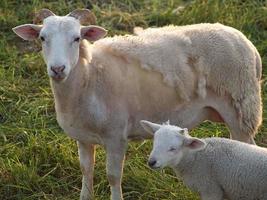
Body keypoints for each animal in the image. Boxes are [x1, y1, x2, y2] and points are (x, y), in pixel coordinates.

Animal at [12, 8, 262, 200]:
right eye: (42, 38)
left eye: (77, 38)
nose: (57, 69)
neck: (89, 76)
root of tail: (246, 42)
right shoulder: (82, 137)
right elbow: (86, 170)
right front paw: (85, 196)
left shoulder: (115, 136)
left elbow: (113, 176)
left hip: (241, 109)